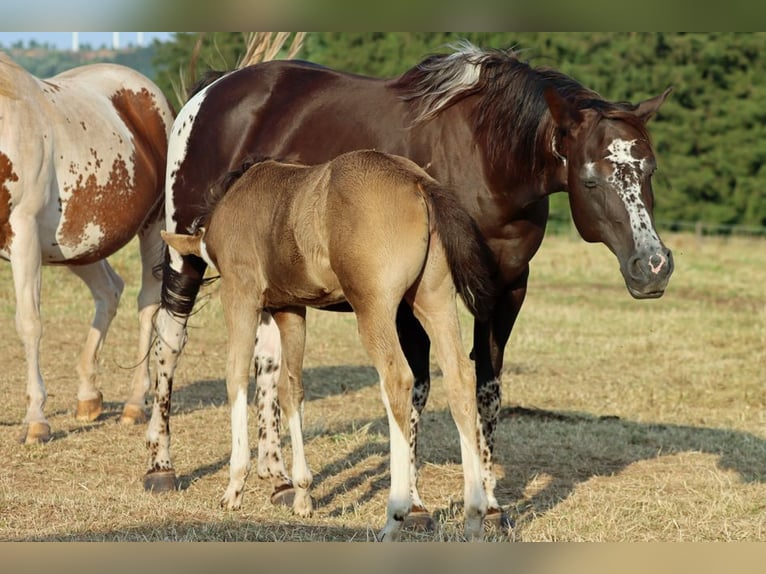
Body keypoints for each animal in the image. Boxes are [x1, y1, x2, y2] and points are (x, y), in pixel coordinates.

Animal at [0, 52, 174, 443]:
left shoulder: (24, 234)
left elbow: (29, 323)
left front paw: (36, 420)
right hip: (78, 244)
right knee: (109, 292)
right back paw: (88, 397)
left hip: (153, 227)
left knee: (147, 304)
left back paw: (134, 403)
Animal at [161, 149, 497, 540]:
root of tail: (418, 182)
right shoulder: (290, 308)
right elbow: (291, 389)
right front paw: (303, 495)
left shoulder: (241, 294)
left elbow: (236, 377)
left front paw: (234, 489)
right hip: (433, 301)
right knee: (460, 379)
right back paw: (474, 514)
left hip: (373, 309)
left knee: (398, 381)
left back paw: (395, 516)